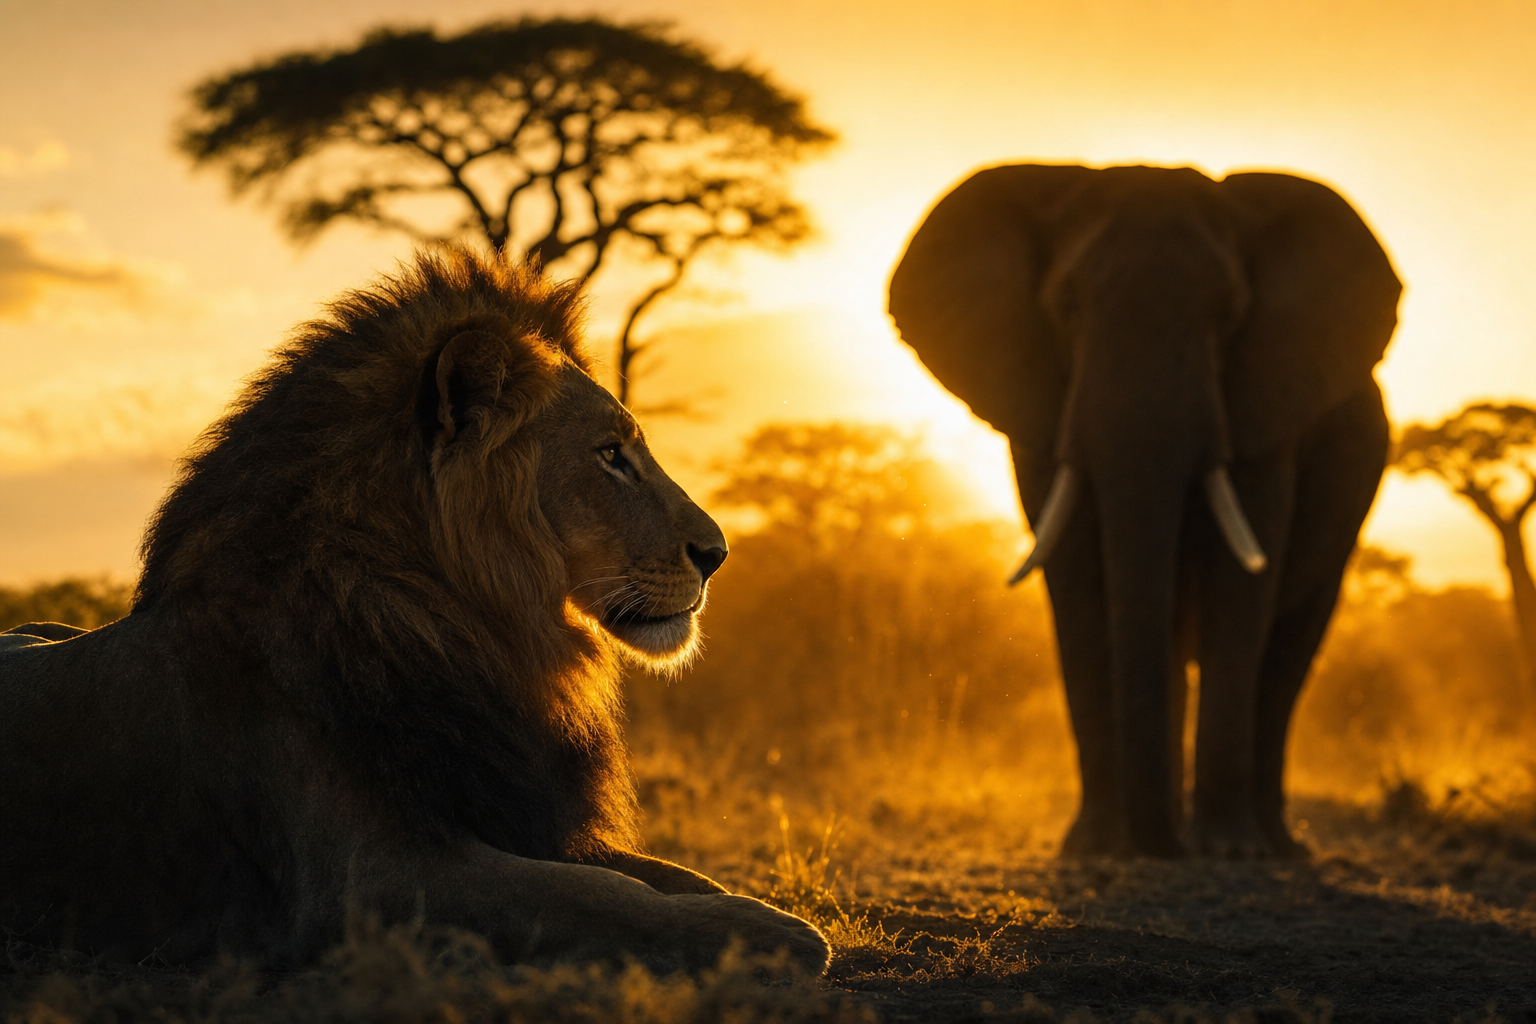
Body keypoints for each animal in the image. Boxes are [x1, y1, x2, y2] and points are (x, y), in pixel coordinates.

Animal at [0, 248, 829, 975]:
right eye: (609, 455)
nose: (718, 552)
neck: (469, 629)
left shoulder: (524, 813)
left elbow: (667, 873)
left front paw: (766, 911)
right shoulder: (373, 878)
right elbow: (602, 894)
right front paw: (767, 936)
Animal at [888, 164, 1400, 858]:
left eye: (1228, 313)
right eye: (1066, 308)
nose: (1161, 848)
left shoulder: (1265, 408)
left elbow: (1241, 588)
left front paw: (1226, 852)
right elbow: (1077, 582)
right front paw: (1095, 846)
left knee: (1287, 654)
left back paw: (1273, 846)